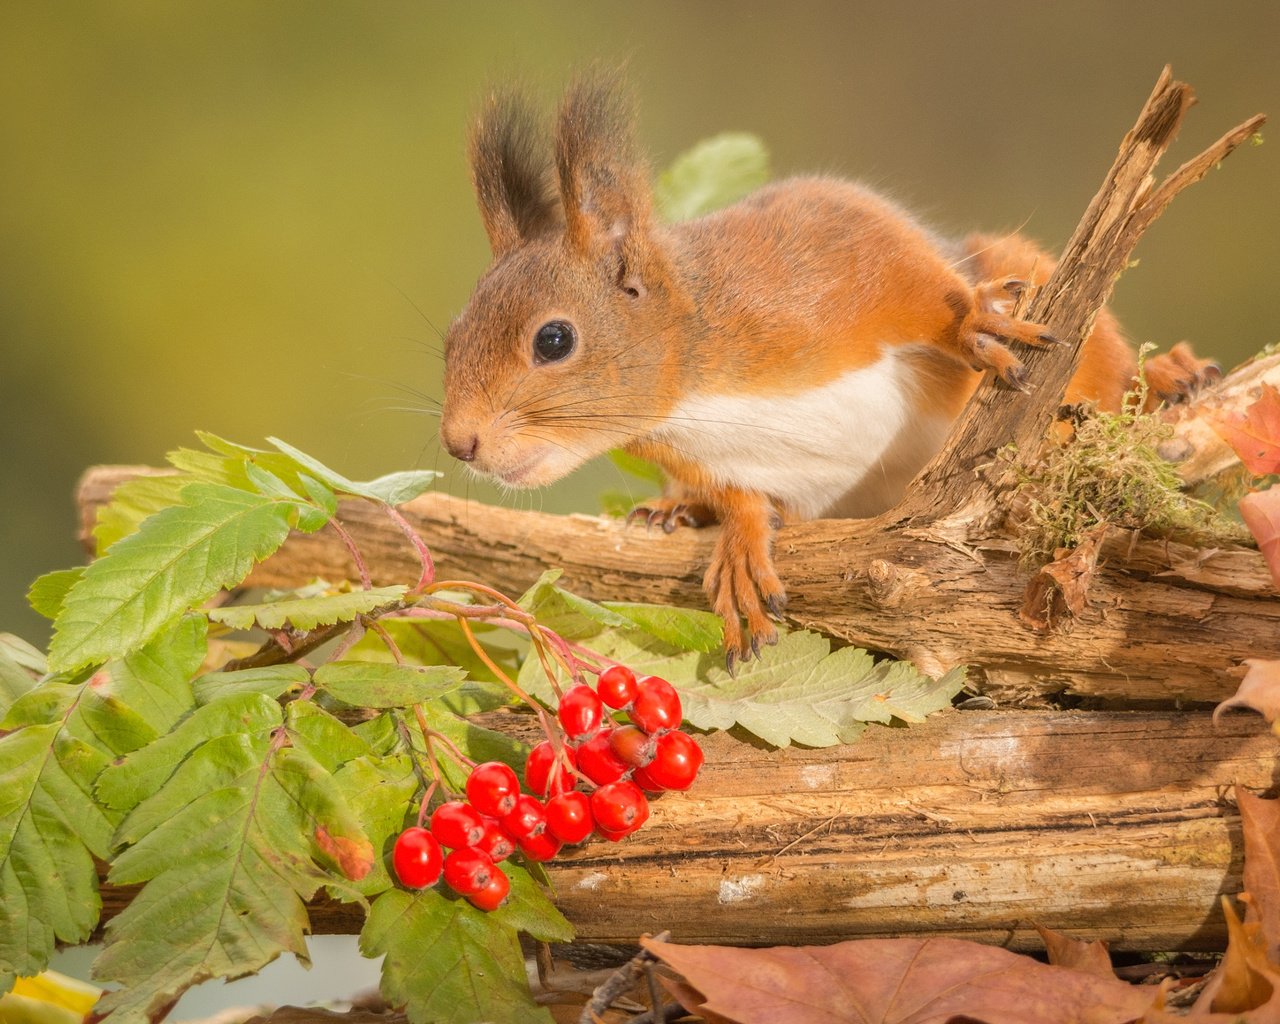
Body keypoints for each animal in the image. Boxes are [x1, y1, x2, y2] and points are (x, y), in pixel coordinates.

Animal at [442, 73, 1218, 665]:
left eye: (553, 340)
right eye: (451, 336)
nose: (460, 443)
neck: (694, 392)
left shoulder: (828, 250)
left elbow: (916, 284)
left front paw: (972, 323)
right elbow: (745, 497)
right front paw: (739, 542)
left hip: (1034, 282)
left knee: (1106, 368)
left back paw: (1169, 378)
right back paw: (676, 509)